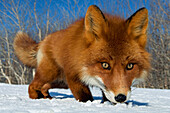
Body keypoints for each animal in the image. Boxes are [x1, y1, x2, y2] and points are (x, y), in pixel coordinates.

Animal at [14, 5, 150, 103]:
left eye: (130, 66)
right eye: (105, 65)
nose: (121, 97)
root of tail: (44, 40)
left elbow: (106, 94)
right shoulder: (73, 76)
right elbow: (85, 97)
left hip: (60, 82)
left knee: (43, 87)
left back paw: (47, 97)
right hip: (50, 74)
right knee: (32, 85)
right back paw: (36, 98)